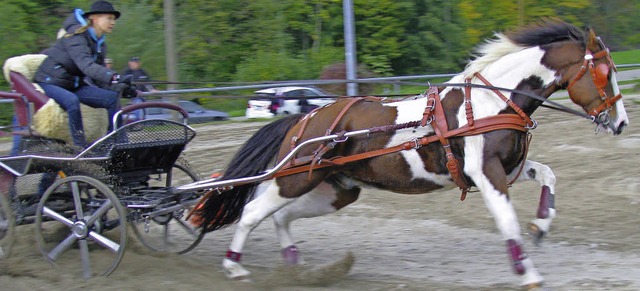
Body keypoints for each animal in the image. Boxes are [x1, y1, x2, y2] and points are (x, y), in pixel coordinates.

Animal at [192, 19, 628, 288]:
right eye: (604, 73)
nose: (621, 123)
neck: (490, 103)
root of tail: (308, 117)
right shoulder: (487, 173)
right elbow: (507, 221)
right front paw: (527, 273)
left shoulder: (505, 169)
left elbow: (549, 175)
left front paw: (542, 225)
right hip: (295, 178)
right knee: (253, 211)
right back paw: (233, 266)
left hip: (338, 189)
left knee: (282, 217)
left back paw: (295, 266)